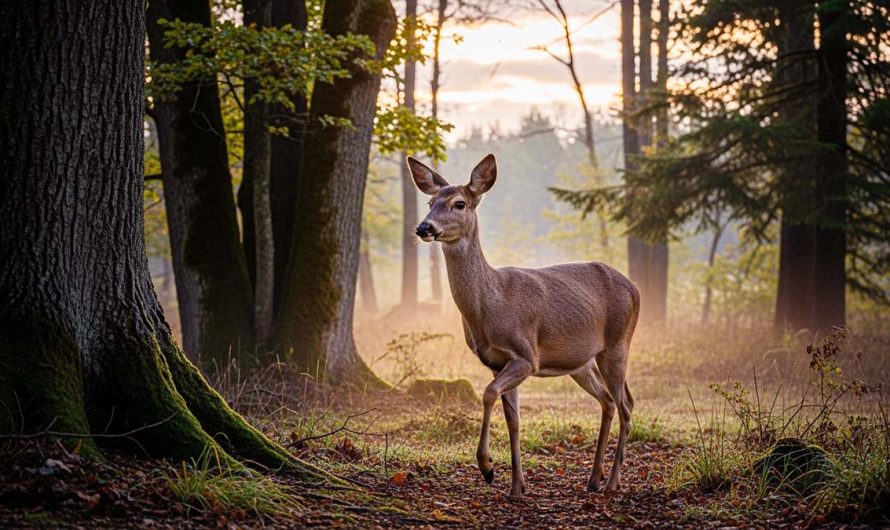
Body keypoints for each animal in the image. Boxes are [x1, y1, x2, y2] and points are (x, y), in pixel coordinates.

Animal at [407, 153, 639, 499]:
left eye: (459, 203)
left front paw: (487, 467)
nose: (424, 227)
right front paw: (517, 486)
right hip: (581, 362)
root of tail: (636, 289)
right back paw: (594, 479)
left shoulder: (526, 355)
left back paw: (612, 481)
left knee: (626, 404)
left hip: (617, 343)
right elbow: (513, 419)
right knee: (608, 401)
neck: (490, 306)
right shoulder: (495, 361)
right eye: (430, 201)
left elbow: (488, 394)